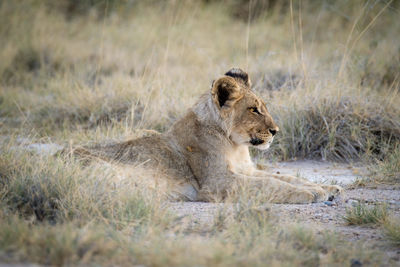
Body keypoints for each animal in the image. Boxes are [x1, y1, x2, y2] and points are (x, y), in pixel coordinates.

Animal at [67, 68, 342, 204]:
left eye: (263, 106)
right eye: (254, 109)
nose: (276, 131)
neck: (235, 145)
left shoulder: (247, 171)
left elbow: (286, 177)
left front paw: (327, 188)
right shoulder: (217, 182)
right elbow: (271, 184)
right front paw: (312, 194)